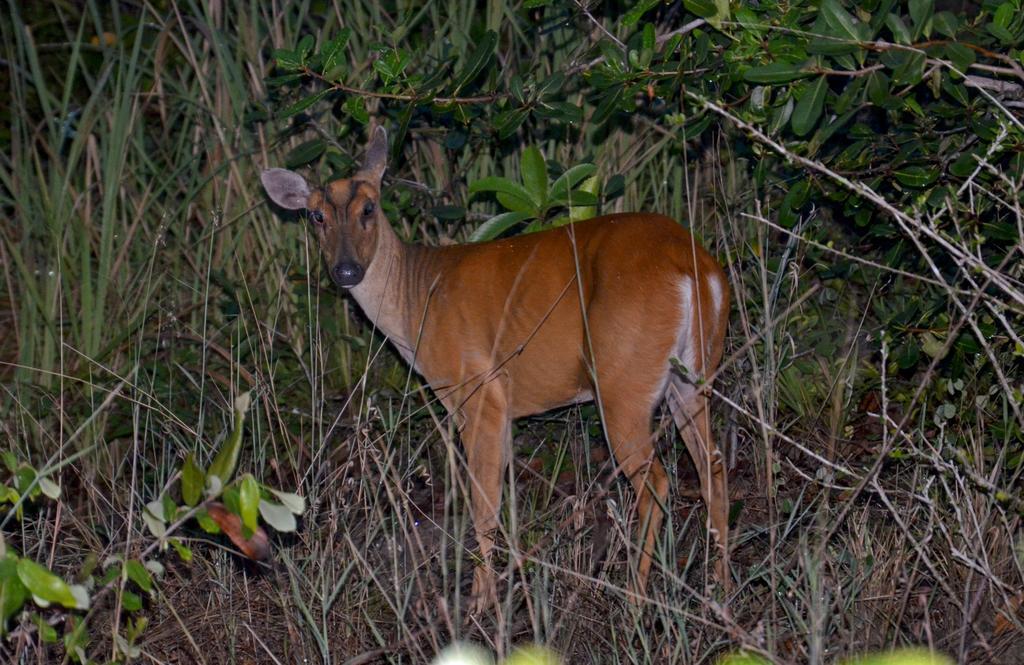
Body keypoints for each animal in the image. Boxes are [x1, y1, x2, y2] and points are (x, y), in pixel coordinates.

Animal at [260, 127, 733, 610]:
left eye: (369, 208)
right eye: (316, 215)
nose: (345, 270)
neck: (416, 300)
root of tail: (693, 268)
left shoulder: (478, 391)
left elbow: (482, 502)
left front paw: (479, 602)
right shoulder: (503, 408)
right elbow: (503, 496)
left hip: (623, 380)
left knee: (656, 485)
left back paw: (636, 601)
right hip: (693, 377)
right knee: (713, 468)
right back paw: (721, 588)